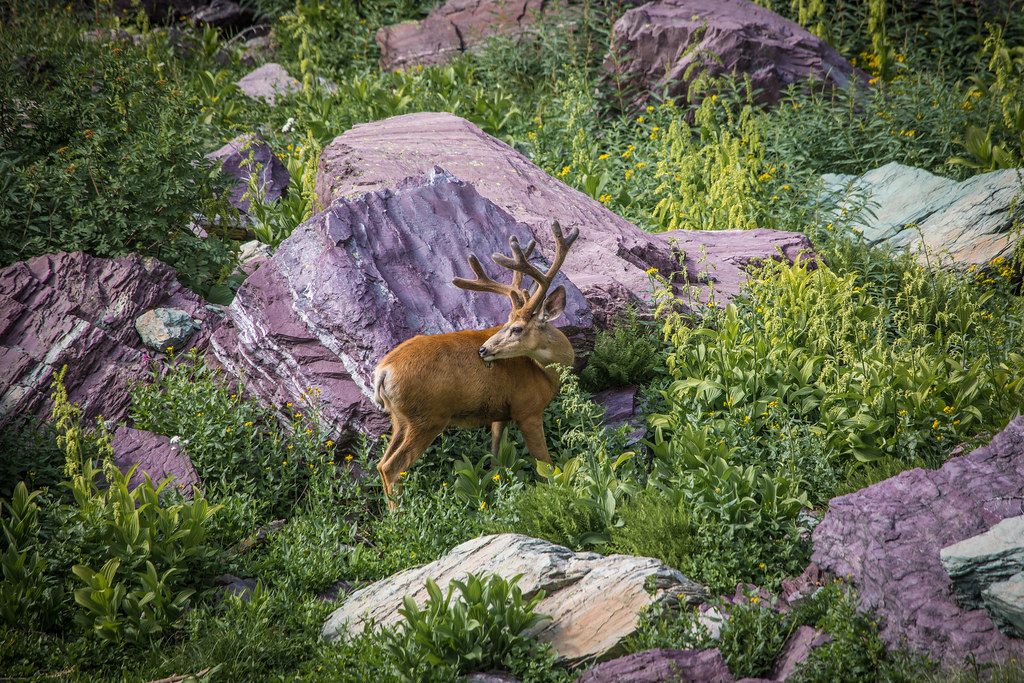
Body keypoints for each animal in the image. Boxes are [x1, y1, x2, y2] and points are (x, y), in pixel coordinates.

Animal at [371, 221, 580, 508]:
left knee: (381, 464)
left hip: (400, 418)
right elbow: (546, 464)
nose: (484, 349)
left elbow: (495, 459)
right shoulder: (527, 409)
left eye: (515, 327)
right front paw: (558, 494)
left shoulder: (500, 413)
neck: (544, 373)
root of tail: (383, 371)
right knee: (392, 467)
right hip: (427, 417)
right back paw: (399, 514)